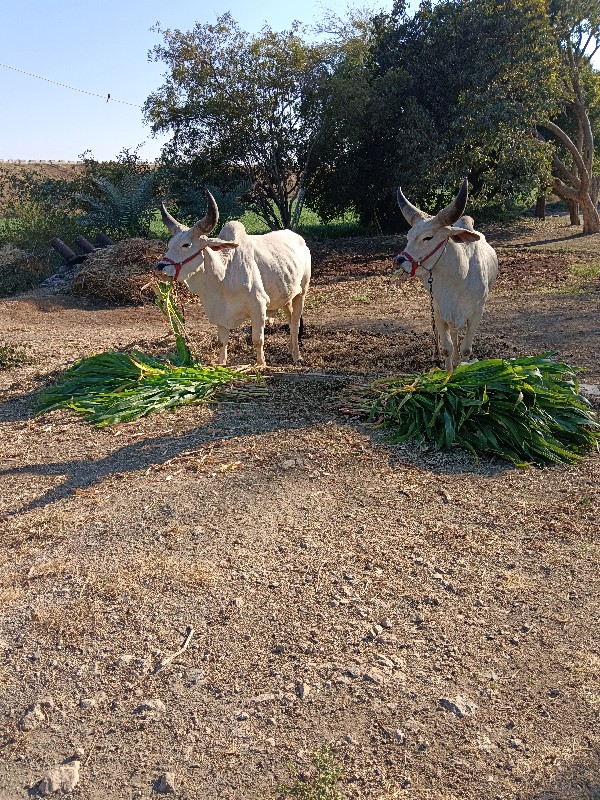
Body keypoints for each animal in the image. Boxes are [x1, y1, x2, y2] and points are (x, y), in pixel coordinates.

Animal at [157, 191, 311, 367]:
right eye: (170, 244)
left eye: (186, 245)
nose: (160, 267)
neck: (223, 276)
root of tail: (299, 238)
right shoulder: (220, 314)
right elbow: (222, 343)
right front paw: (221, 365)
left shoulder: (259, 307)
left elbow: (258, 340)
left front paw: (261, 365)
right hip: (285, 295)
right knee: (290, 318)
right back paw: (291, 350)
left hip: (302, 292)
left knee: (295, 324)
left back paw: (297, 356)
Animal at [393, 178, 498, 371]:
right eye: (408, 236)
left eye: (428, 237)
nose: (398, 261)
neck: (457, 278)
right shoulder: (438, 311)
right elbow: (447, 347)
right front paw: (448, 373)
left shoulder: (476, 313)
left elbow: (466, 348)